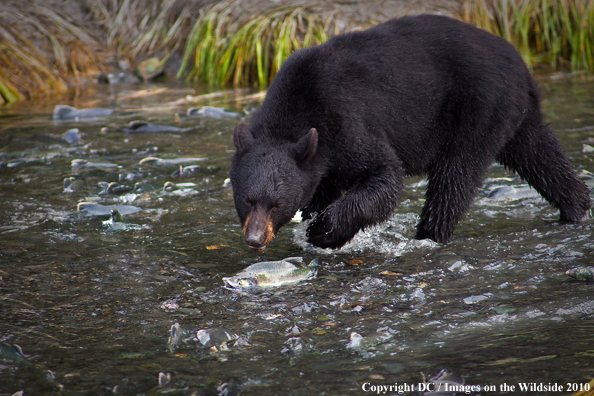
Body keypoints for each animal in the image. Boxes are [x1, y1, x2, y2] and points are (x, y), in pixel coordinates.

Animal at [227, 15, 588, 252]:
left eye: (275, 204)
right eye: (247, 199)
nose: (254, 239)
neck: (300, 105)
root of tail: (521, 64)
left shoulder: (346, 122)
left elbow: (385, 174)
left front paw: (323, 231)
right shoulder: (319, 157)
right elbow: (322, 188)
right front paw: (313, 223)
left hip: (478, 108)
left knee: (455, 176)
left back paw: (429, 235)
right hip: (514, 113)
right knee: (537, 153)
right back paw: (576, 205)